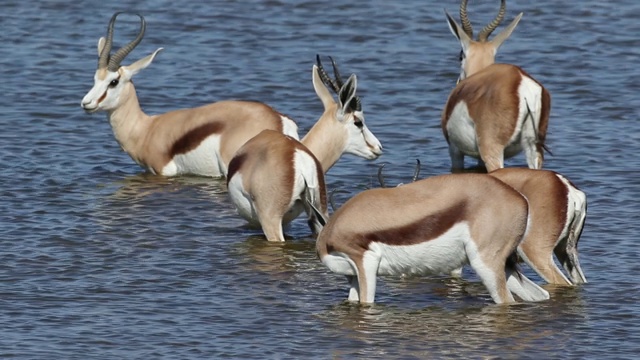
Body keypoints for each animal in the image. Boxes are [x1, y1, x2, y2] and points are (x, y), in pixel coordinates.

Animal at [81, 11, 298, 178]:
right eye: (95, 78)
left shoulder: (163, 172)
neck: (145, 129)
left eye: (113, 81)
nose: (86, 103)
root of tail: (276, 119)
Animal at [316, 173, 552, 306]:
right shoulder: (352, 276)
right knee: (540, 295)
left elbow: (367, 303)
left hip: (486, 265)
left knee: (505, 301)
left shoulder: (366, 263)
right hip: (505, 268)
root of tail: (521, 199)